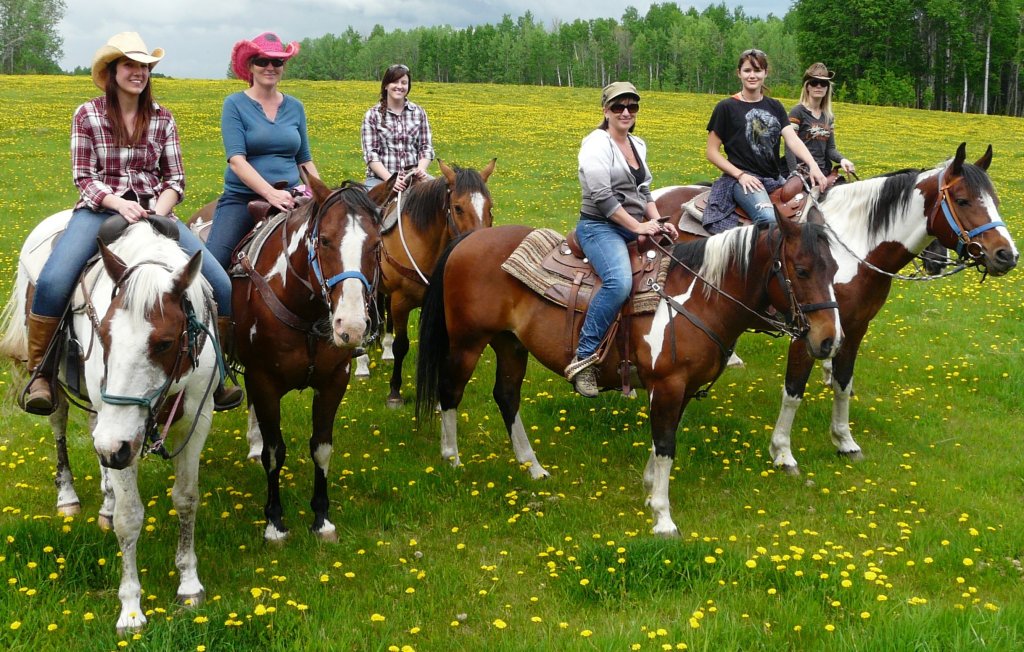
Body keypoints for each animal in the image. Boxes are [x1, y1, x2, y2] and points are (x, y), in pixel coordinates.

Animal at [0, 220, 220, 630]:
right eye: (103, 335)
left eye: (165, 343)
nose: (111, 448)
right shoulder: (122, 439)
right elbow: (129, 518)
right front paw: (131, 608)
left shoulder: (195, 421)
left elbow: (186, 499)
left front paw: (188, 583)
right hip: (60, 389)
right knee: (62, 426)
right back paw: (68, 496)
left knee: (93, 429)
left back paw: (105, 499)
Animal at [232, 177, 385, 540]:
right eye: (325, 240)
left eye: (376, 244)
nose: (351, 326)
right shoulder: (263, 381)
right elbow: (274, 453)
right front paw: (274, 522)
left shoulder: (334, 381)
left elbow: (322, 447)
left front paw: (322, 518)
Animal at [415, 219, 839, 532]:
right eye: (802, 270)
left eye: (835, 269)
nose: (829, 340)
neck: (698, 298)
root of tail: (469, 238)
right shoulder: (668, 384)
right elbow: (666, 445)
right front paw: (663, 518)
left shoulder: (679, 390)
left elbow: (661, 441)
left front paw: (650, 490)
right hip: (468, 343)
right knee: (450, 393)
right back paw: (452, 460)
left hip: (511, 344)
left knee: (507, 397)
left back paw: (532, 466)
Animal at [655, 142, 1015, 470]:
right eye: (963, 200)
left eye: (996, 201)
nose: (1007, 255)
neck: (855, 248)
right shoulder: (806, 332)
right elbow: (794, 390)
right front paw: (782, 452)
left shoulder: (854, 329)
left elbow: (844, 383)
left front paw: (844, 441)